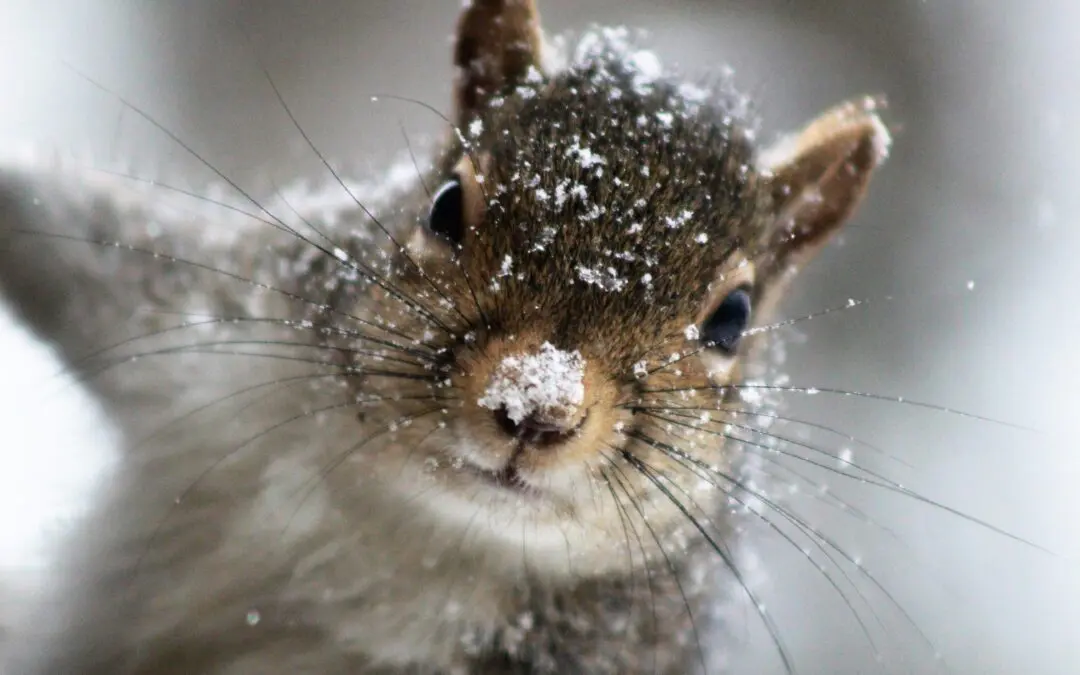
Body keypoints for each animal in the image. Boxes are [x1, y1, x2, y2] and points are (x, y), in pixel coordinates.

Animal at [0, 1, 889, 673]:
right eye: (445, 206)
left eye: (733, 316)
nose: (537, 404)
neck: (415, 527)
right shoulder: (203, 311)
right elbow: (59, 233)